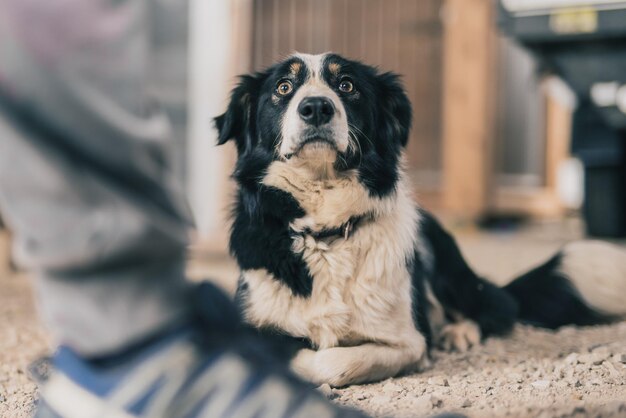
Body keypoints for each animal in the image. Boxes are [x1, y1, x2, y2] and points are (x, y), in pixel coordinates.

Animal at [213, 53, 624, 388]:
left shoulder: (407, 340)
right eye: (283, 87)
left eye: (347, 86)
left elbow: (332, 361)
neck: (325, 231)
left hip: (449, 269)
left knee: (496, 308)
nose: (316, 107)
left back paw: (458, 332)